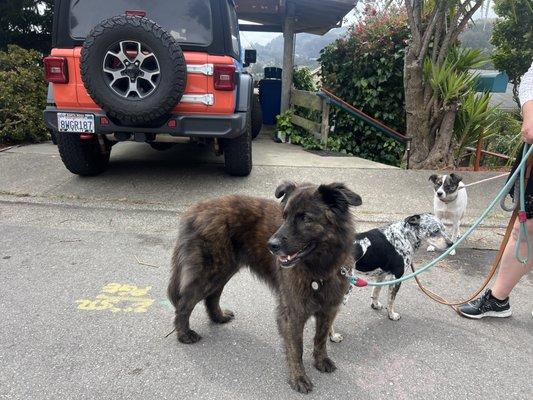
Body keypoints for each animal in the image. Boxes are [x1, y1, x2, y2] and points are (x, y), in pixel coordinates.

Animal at [167, 184, 362, 394]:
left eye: (306, 218)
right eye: (284, 216)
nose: (271, 245)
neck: (319, 270)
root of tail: (195, 209)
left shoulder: (329, 309)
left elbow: (321, 337)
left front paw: (321, 360)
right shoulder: (293, 313)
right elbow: (297, 348)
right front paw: (298, 378)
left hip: (224, 269)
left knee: (212, 296)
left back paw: (218, 317)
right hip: (211, 272)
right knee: (184, 303)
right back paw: (184, 334)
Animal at [330, 214, 450, 342]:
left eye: (444, 229)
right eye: (436, 231)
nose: (451, 243)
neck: (404, 236)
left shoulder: (381, 275)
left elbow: (376, 292)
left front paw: (375, 305)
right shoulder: (396, 277)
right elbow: (391, 300)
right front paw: (392, 315)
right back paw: (333, 336)